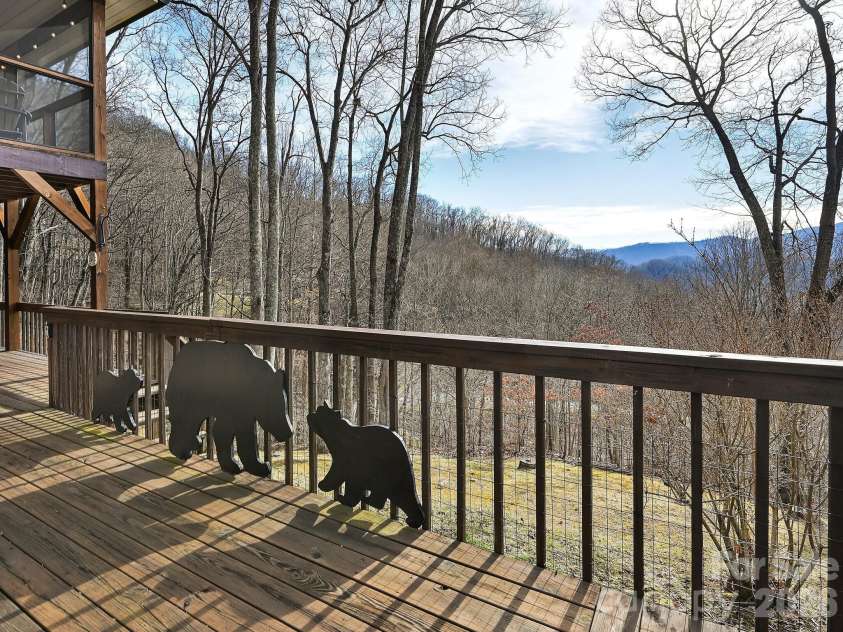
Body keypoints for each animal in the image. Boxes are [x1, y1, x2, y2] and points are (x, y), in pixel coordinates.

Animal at [166, 341, 293, 477]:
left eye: (284, 405)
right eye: (277, 406)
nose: (288, 432)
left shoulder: (235, 409)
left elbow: (226, 432)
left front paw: (233, 465)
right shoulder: (234, 404)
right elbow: (241, 436)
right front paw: (261, 466)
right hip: (188, 392)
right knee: (185, 421)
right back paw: (183, 448)